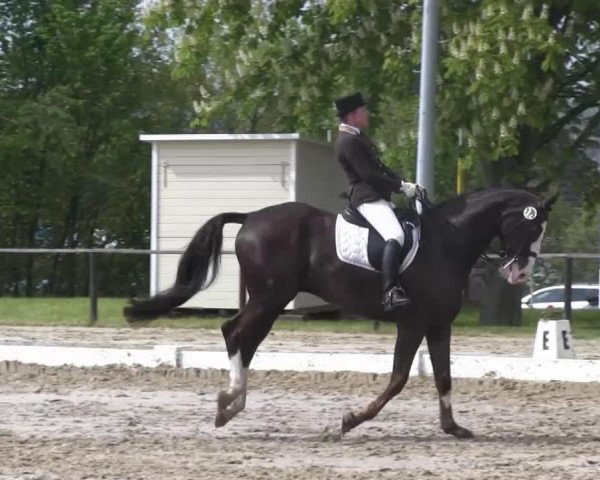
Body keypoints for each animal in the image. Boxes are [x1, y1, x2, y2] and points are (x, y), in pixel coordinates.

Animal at [124, 187, 556, 438]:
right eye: (532, 228)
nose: (520, 273)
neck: (447, 241)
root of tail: (250, 218)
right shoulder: (412, 323)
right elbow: (398, 379)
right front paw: (349, 421)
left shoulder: (438, 325)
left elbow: (444, 377)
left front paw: (453, 427)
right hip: (270, 298)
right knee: (235, 332)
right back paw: (228, 401)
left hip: (270, 301)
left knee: (246, 339)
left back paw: (233, 404)